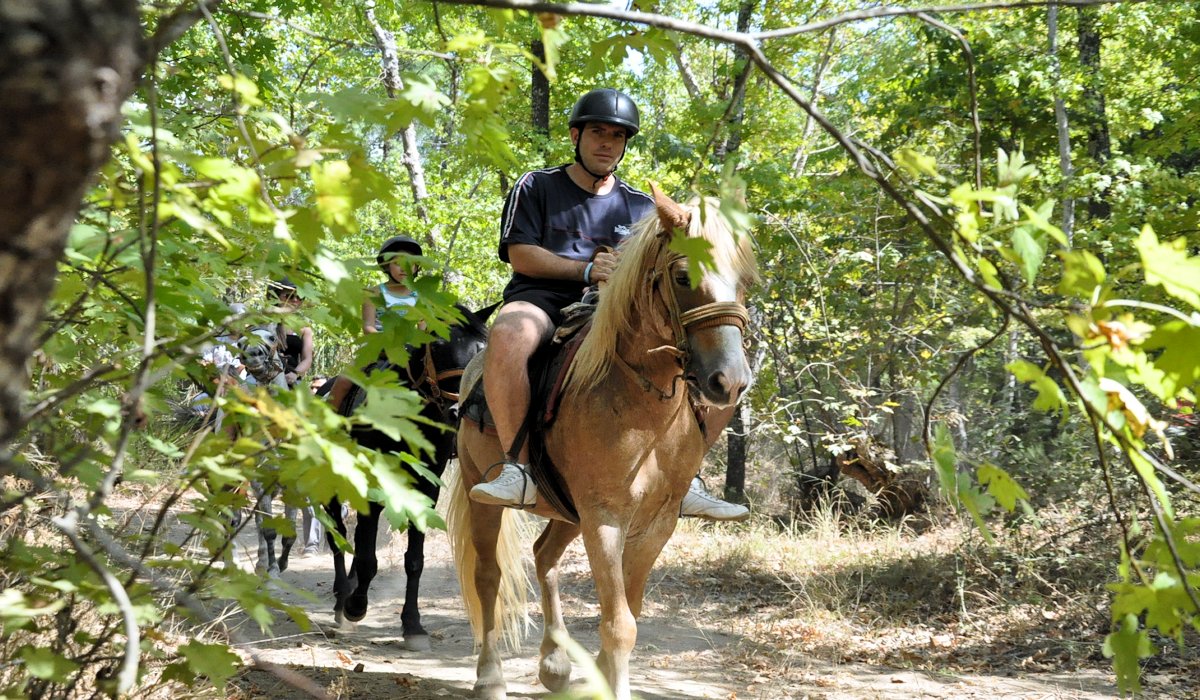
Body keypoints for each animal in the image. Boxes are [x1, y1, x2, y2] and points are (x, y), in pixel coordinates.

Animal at [326, 302, 497, 649]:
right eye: (438, 345)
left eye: (480, 349)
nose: (457, 412)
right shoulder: (373, 486)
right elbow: (367, 558)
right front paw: (355, 607)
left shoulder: (425, 490)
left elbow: (413, 559)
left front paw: (413, 625)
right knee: (338, 537)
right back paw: (341, 601)